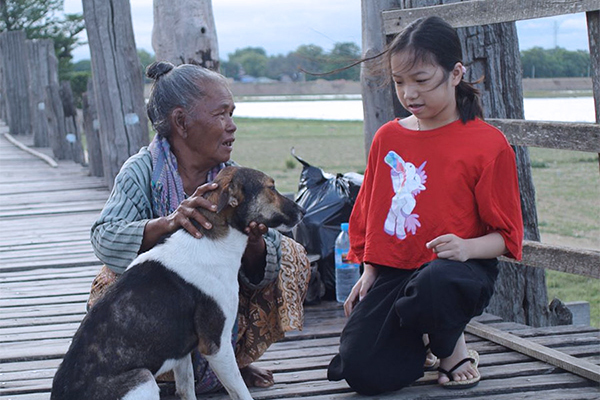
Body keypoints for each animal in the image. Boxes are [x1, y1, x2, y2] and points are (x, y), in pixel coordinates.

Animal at [50, 167, 304, 400]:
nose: (302, 211)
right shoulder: (216, 346)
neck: (214, 240)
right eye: (271, 188)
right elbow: (241, 392)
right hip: (143, 379)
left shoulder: (182, 352)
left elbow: (186, 389)